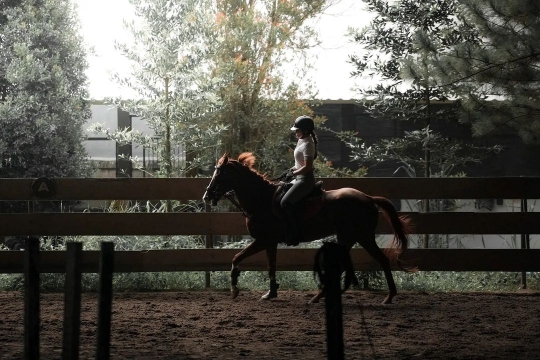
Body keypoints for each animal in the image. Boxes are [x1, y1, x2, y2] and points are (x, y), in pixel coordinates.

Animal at [202, 152, 414, 304]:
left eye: (219, 174)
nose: (207, 196)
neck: (261, 200)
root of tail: (369, 198)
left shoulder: (263, 240)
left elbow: (236, 258)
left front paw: (234, 289)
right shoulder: (270, 243)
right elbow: (271, 266)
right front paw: (271, 293)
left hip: (354, 237)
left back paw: (320, 296)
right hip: (360, 237)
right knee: (382, 260)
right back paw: (388, 297)